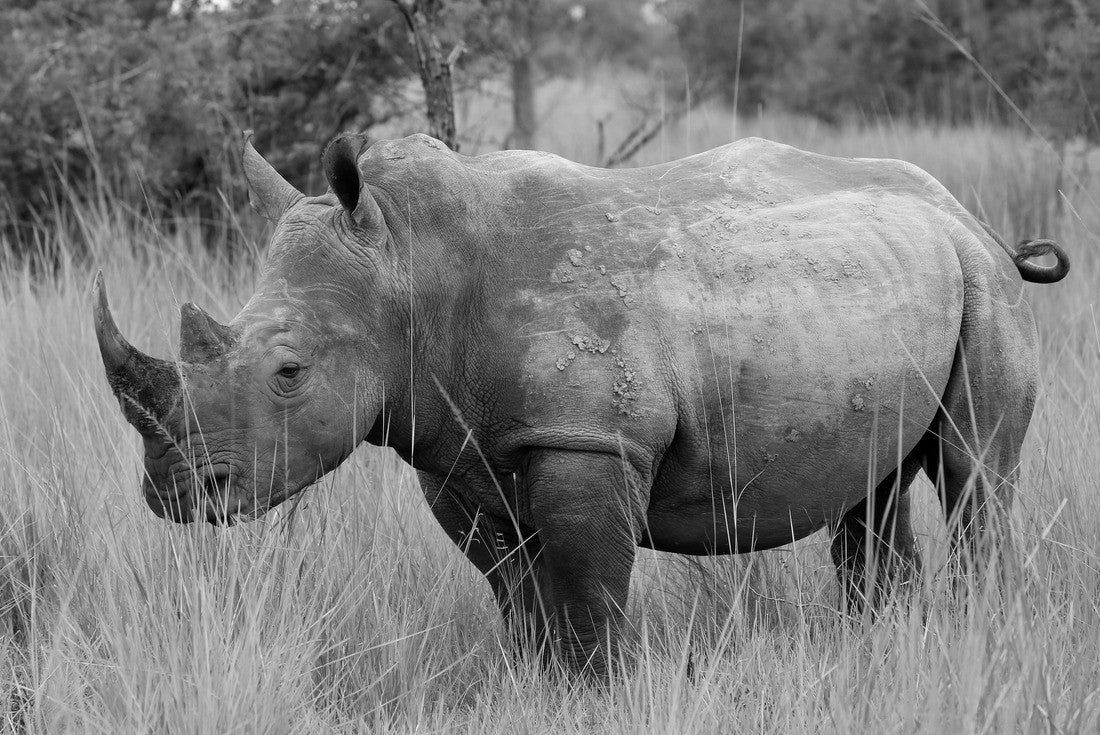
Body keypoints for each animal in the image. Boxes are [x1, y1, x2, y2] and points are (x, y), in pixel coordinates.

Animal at [94, 133, 1068, 675]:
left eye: (288, 372)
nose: (174, 493)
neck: (409, 266)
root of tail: (972, 217)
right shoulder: (457, 448)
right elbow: (518, 592)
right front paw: (538, 686)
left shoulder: (588, 440)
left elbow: (590, 589)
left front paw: (599, 691)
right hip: (873, 285)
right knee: (872, 489)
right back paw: (879, 641)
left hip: (980, 283)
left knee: (977, 469)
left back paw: (977, 628)